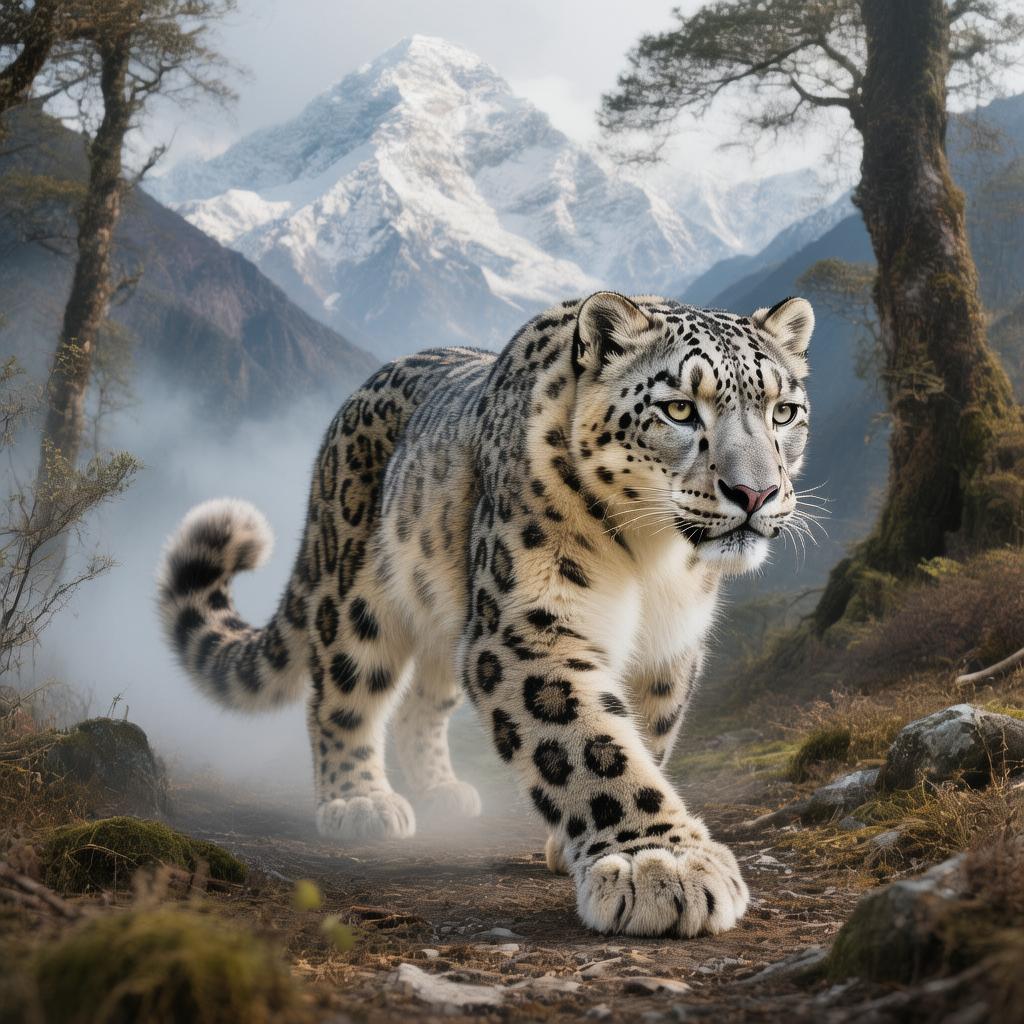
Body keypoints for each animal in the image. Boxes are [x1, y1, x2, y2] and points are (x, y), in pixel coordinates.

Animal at [158, 290, 815, 938]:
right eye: (679, 409)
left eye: (783, 412)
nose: (755, 493)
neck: (657, 562)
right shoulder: (526, 628)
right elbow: (589, 744)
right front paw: (657, 863)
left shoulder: (669, 648)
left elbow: (645, 736)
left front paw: (586, 848)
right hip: (355, 600)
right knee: (342, 696)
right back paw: (359, 801)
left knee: (419, 706)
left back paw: (442, 792)